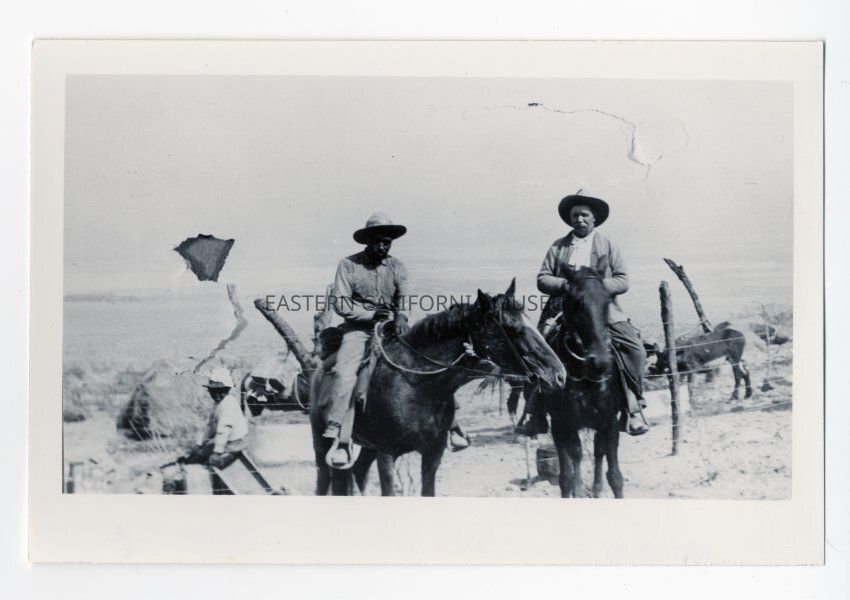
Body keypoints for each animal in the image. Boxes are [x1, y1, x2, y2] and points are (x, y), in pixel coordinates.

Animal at [310, 279, 567, 496]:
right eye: (514, 329)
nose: (559, 375)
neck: (417, 385)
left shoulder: (432, 454)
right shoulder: (387, 454)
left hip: (367, 447)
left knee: (359, 471)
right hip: (323, 445)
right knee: (325, 479)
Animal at [538, 266, 630, 499]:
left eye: (607, 301)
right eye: (575, 302)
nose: (600, 361)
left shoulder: (609, 423)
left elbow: (615, 476)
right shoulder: (560, 424)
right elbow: (566, 477)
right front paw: (575, 489)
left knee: (597, 451)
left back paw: (596, 488)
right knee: (578, 455)